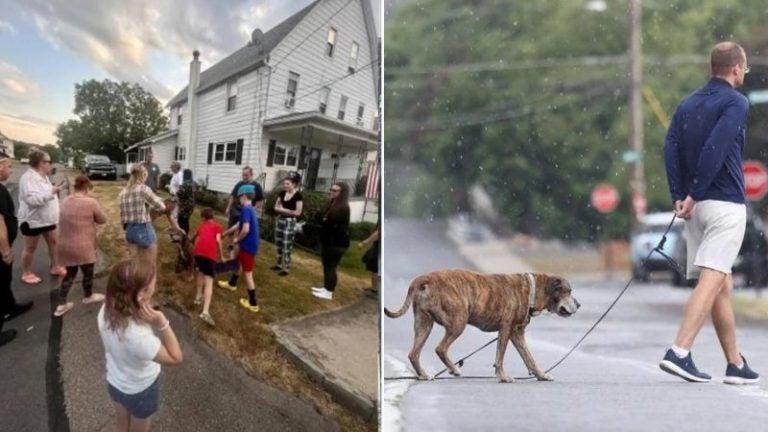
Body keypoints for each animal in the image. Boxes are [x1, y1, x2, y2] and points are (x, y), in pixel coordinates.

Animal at [388, 268, 580, 384]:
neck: (532, 291)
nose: (578, 304)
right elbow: (500, 357)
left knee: (414, 353)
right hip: (458, 322)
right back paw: (453, 368)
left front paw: (541, 374)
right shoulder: (506, 328)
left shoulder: (517, 334)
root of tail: (424, 278)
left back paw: (423, 374)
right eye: (568, 291)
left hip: (423, 324)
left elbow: (529, 357)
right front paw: (503, 376)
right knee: (440, 348)